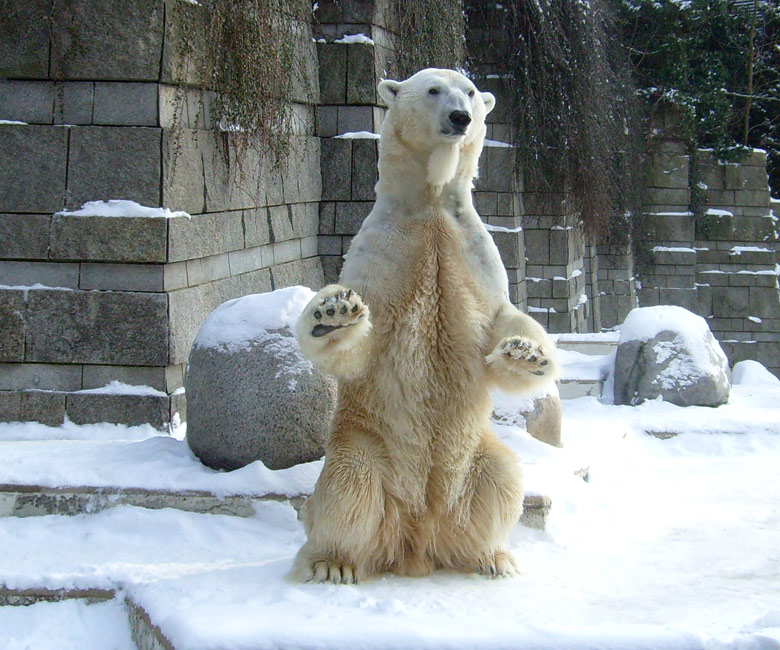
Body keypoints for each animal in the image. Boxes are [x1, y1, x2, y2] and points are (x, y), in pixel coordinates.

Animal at [290, 69, 556, 584]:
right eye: (433, 89)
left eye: (470, 92)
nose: (461, 117)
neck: (429, 201)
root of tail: (415, 539)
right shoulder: (385, 248)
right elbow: (365, 341)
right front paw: (332, 314)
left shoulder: (472, 250)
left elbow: (501, 318)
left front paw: (528, 353)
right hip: (364, 441)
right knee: (347, 486)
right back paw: (333, 562)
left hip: (475, 452)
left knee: (501, 477)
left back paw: (491, 557)